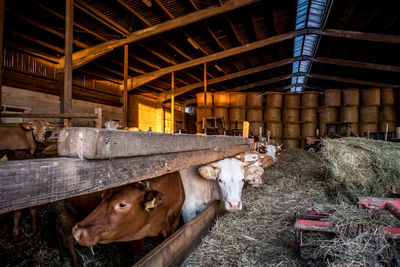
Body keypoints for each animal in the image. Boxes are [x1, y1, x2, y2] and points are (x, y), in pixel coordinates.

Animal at [55, 173, 185, 266]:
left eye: (122, 204)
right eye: (102, 196)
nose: (77, 231)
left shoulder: (173, 225)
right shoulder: (135, 234)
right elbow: (140, 254)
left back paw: (62, 256)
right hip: (62, 209)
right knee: (67, 237)